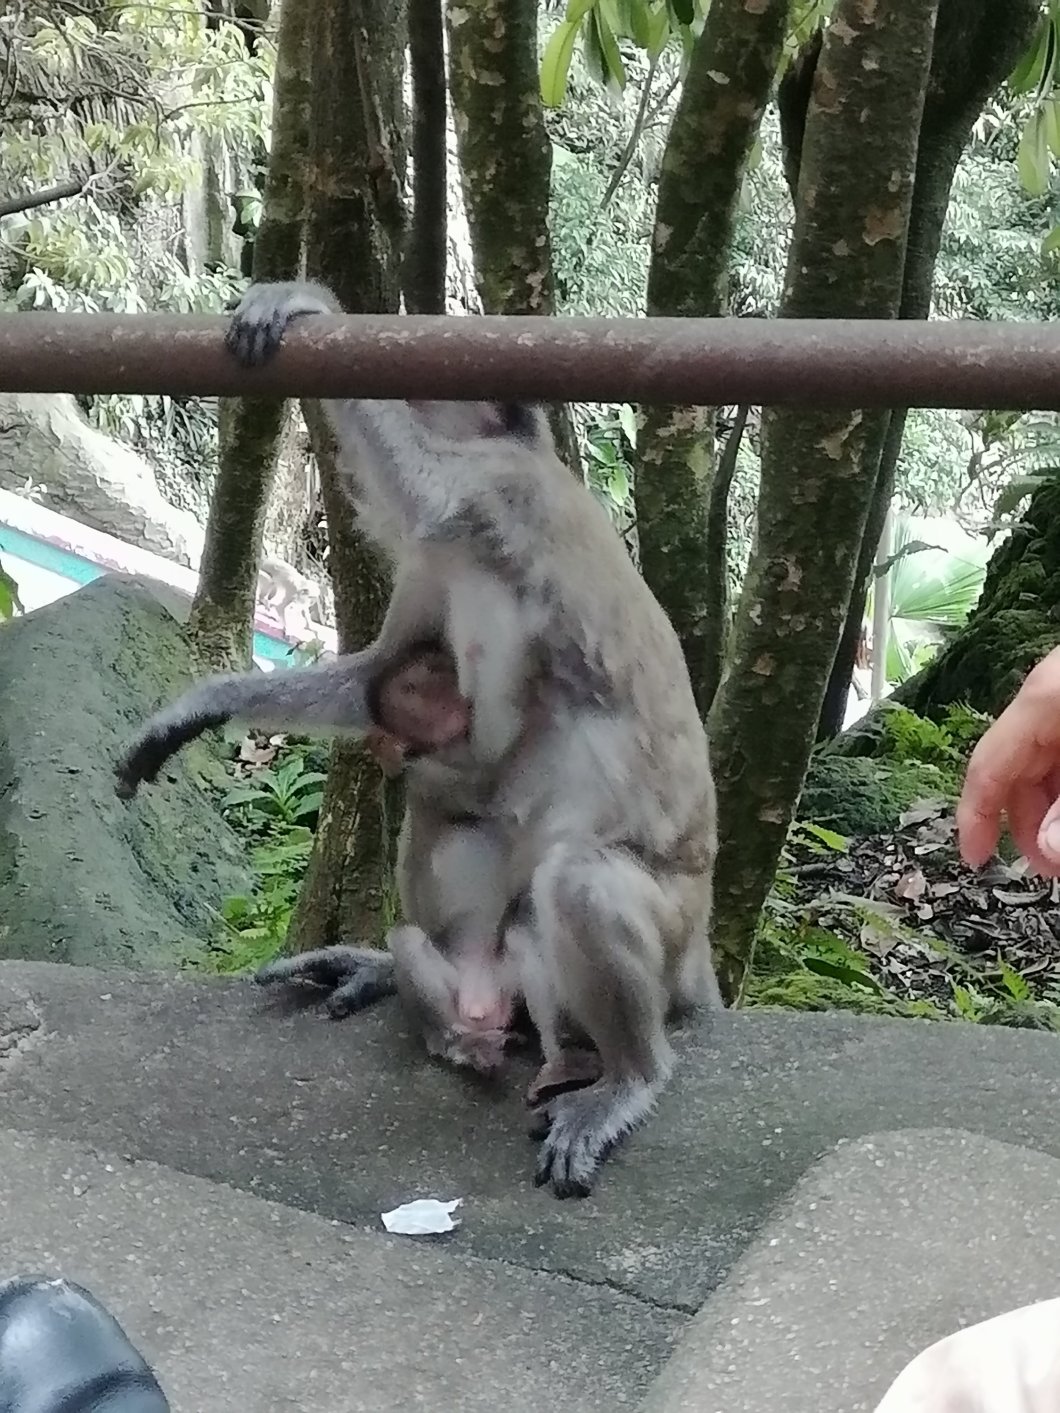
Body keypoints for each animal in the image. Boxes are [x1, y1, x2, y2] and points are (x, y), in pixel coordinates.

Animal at [114, 279, 721, 1198]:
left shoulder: (498, 496)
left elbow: (433, 507)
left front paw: (308, 306)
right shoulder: (447, 557)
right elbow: (376, 676)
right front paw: (204, 703)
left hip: (671, 925)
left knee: (574, 873)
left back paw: (629, 1075)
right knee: (459, 823)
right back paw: (413, 982)